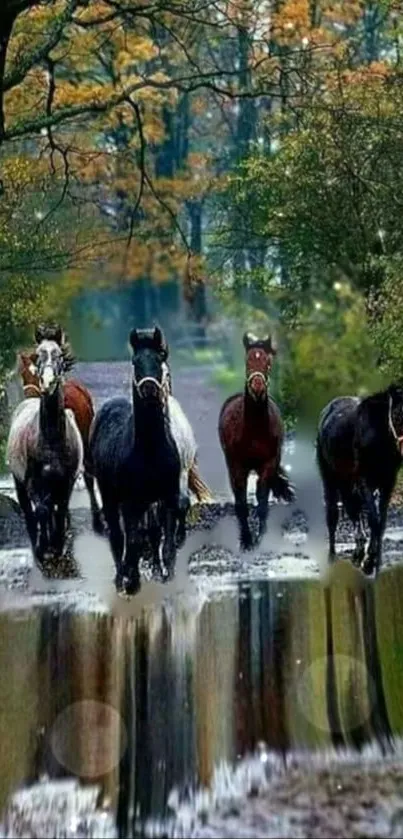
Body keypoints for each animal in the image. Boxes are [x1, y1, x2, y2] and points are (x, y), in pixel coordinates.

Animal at [89, 324, 196, 592]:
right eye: (135, 362)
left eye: (159, 359)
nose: (149, 389)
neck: (150, 451)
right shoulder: (131, 502)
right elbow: (133, 540)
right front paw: (133, 580)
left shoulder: (168, 497)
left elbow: (166, 542)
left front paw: (167, 576)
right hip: (110, 495)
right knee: (118, 537)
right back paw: (121, 577)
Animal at [219, 332, 296, 556]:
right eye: (248, 360)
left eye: (268, 362)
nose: (257, 387)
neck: (253, 428)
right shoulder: (237, 467)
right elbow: (241, 504)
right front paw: (246, 541)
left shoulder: (268, 464)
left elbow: (262, 501)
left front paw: (261, 539)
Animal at [318, 384, 403, 576]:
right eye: (396, 414)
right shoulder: (365, 481)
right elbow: (373, 519)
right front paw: (369, 562)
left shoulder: (388, 482)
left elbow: (381, 522)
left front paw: (374, 562)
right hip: (330, 478)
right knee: (333, 514)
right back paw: (332, 556)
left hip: (347, 481)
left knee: (353, 508)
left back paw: (357, 553)